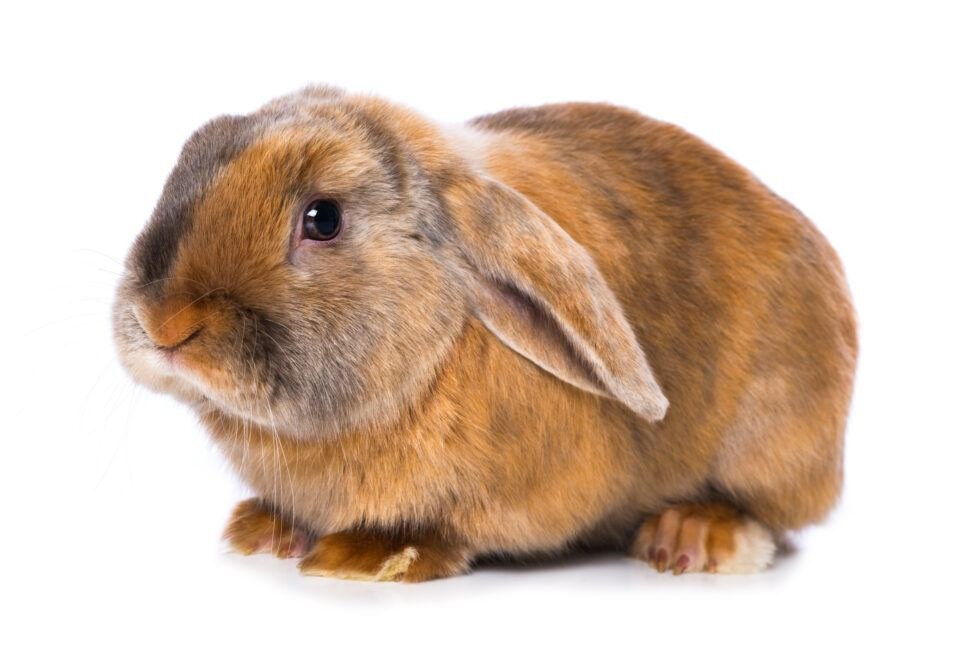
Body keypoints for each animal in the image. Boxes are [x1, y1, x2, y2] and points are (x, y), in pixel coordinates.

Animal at [113, 85, 857, 582]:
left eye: (322, 219)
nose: (163, 324)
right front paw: (264, 532)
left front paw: (369, 556)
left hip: (776, 437)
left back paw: (693, 536)